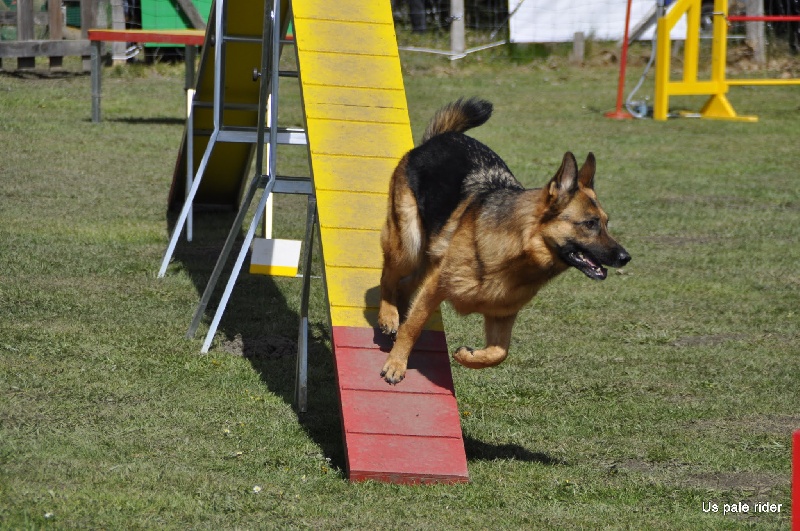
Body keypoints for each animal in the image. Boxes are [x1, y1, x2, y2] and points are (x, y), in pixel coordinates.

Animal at [378, 97, 628, 384]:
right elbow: (413, 326)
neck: (518, 254)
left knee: (405, 285)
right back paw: (388, 316)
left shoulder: (502, 314)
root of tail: (439, 138)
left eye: (606, 223)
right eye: (589, 224)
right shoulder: (436, 286)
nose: (626, 257)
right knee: (388, 275)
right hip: (408, 245)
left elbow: (499, 353)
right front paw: (397, 364)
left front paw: (468, 356)